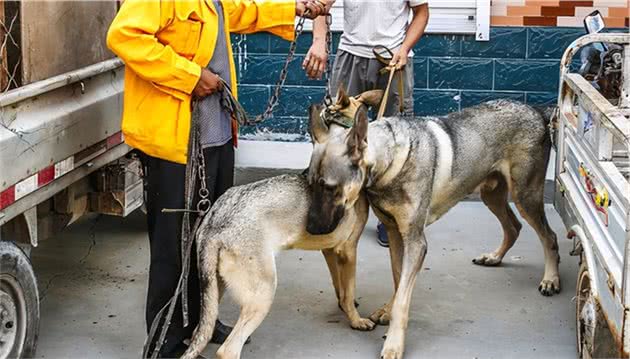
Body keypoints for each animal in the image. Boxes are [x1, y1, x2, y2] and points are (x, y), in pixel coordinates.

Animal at [183, 174, 376, 359]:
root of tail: (213, 224)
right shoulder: (348, 250)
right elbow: (348, 292)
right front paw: (356, 321)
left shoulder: (330, 250)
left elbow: (339, 286)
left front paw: (343, 306)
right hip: (264, 293)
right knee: (227, 351)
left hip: (215, 292)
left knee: (199, 332)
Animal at [308, 88, 560, 358]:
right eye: (311, 183)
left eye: (329, 187)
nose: (312, 230)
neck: (390, 158)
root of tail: (537, 110)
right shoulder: (396, 235)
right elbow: (398, 281)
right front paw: (387, 311)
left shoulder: (416, 242)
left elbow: (403, 297)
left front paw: (393, 344)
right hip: (491, 194)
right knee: (514, 227)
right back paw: (494, 257)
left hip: (526, 196)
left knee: (549, 236)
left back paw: (551, 280)